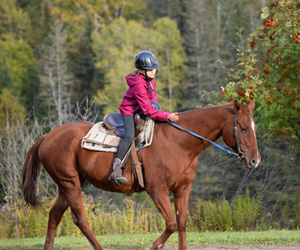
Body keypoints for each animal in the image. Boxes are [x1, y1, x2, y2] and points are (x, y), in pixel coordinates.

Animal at [22, 100, 260, 250]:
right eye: (243, 128)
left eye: (254, 127)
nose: (254, 160)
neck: (179, 142)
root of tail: (47, 136)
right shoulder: (157, 190)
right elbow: (171, 223)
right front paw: (154, 245)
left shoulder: (183, 189)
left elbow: (181, 222)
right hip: (70, 183)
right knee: (80, 219)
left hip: (66, 185)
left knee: (54, 215)